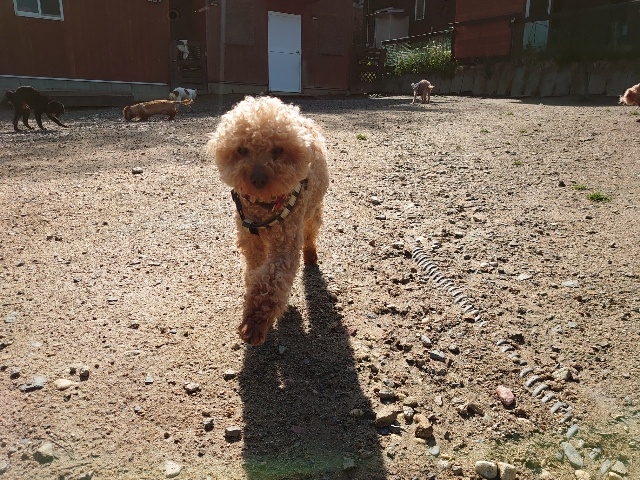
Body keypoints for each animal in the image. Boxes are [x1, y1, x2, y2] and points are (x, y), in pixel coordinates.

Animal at [207, 96, 329, 346]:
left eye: (279, 149)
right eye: (242, 149)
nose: (258, 179)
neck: (262, 207)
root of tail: (307, 122)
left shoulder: (286, 243)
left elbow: (272, 280)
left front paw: (255, 324)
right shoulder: (250, 241)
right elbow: (256, 273)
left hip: (313, 209)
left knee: (311, 232)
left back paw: (311, 256)